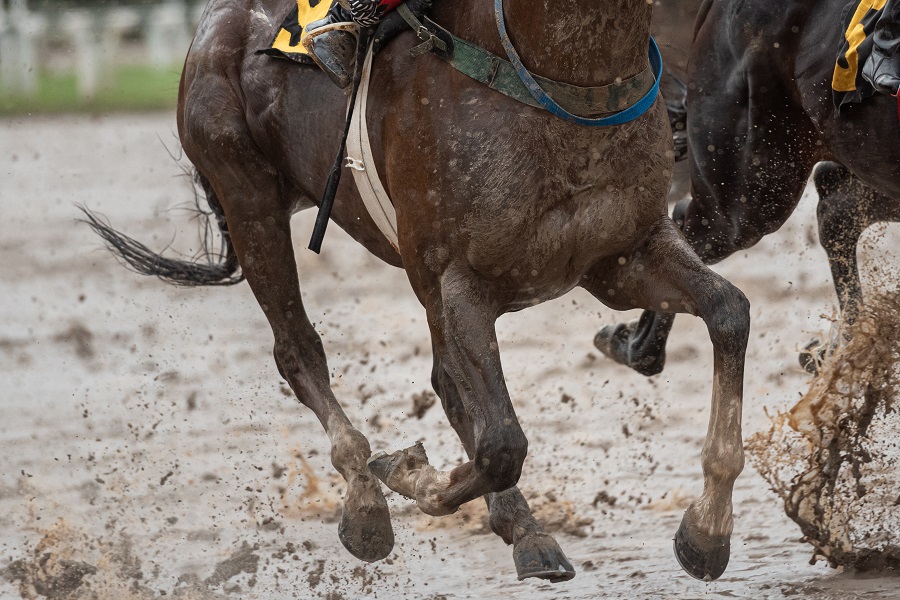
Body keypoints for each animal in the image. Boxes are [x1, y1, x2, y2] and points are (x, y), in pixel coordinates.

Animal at [84, 0, 748, 584]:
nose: (686, 104)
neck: (556, 78)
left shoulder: (620, 255)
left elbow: (729, 312)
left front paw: (707, 531)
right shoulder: (459, 281)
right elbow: (501, 441)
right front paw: (404, 473)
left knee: (447, 385)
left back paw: (524, 532)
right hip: (249, 200)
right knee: (299, 351)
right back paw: (366, 504)